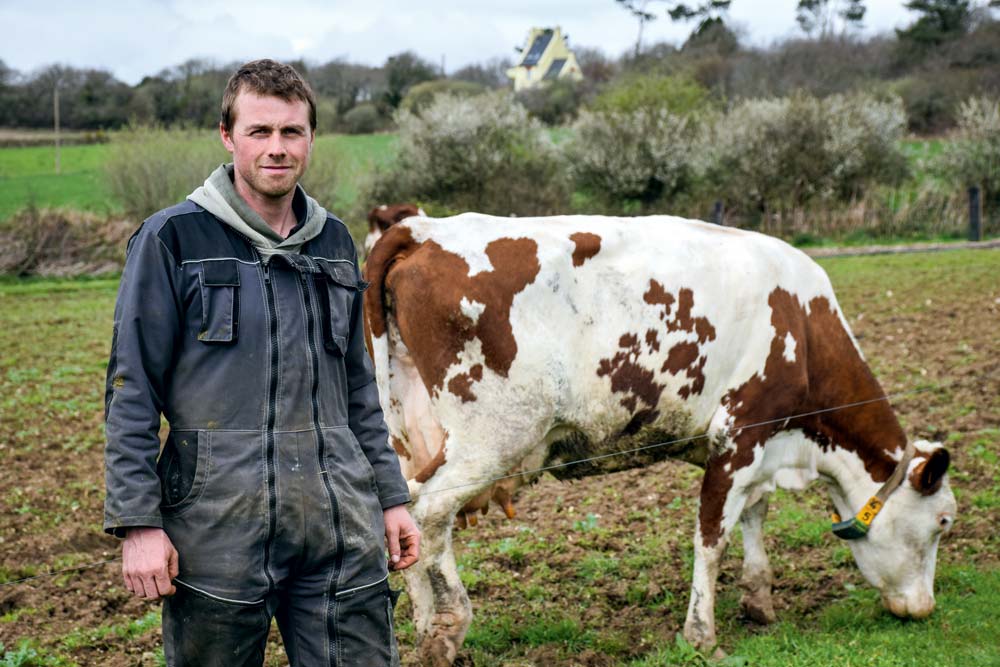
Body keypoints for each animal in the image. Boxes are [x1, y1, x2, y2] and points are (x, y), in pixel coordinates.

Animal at [364, 215, 956, 667]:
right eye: (942, 523)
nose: (925, 609)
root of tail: (422, 229)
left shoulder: (754, 447)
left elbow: (754, 513)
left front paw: (759, 599)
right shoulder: (739, 434)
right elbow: (712, 538)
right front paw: (702, 636)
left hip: (410, 433)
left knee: (405, 514)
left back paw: (424, 626)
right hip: (491, 438)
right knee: (432, 514)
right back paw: (447, 629)